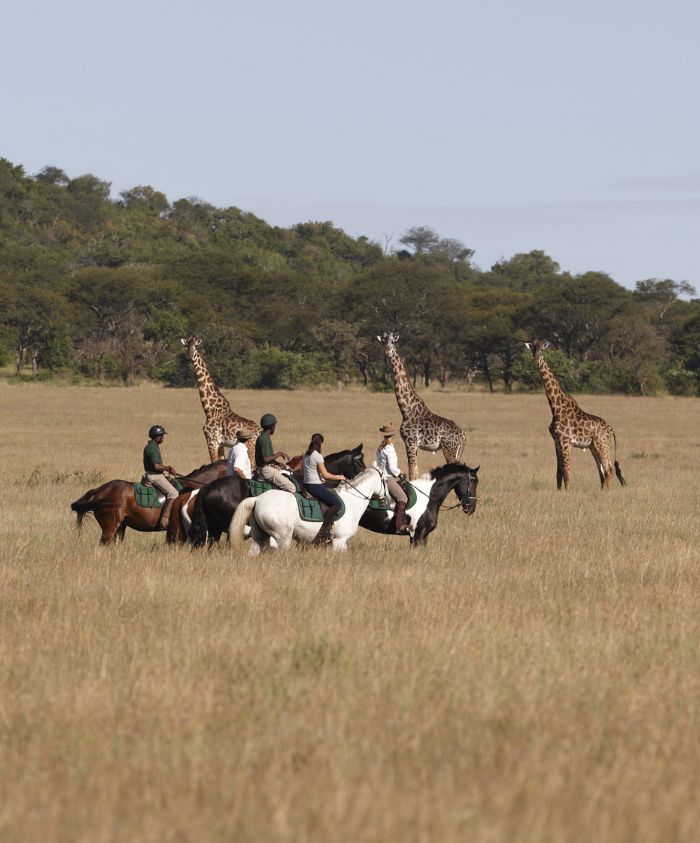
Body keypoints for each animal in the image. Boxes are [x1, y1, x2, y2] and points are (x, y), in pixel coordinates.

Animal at [230, 467, 386, 553]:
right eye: (384, 480)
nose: (384, 497)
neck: (351, 500)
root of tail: (258, 499)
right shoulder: (339, 542)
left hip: (260, 537)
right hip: (283, 538)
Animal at [377, 332, 466, 480]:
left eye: (393, 341)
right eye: (383, 341)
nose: (387, 351)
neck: (406, 409)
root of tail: (463, 436)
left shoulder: (410, 441)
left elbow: (412, 473)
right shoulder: (414, 445)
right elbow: (415, 471)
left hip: (449, 449)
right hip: (458, 452)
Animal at [526, 340, 626, 490]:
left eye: (542, 349)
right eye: (533, 349)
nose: (535, 358)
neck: (555, 407)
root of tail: (611, 430)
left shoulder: (566, 442)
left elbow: (567, 472)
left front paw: (567, 493)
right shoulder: (556, 442)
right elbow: (559, 473)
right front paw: (559, 492)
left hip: (602, 445)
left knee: (608, 470)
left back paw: (608, 493)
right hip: (593, 447)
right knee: (602, 472)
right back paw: (603, 492)